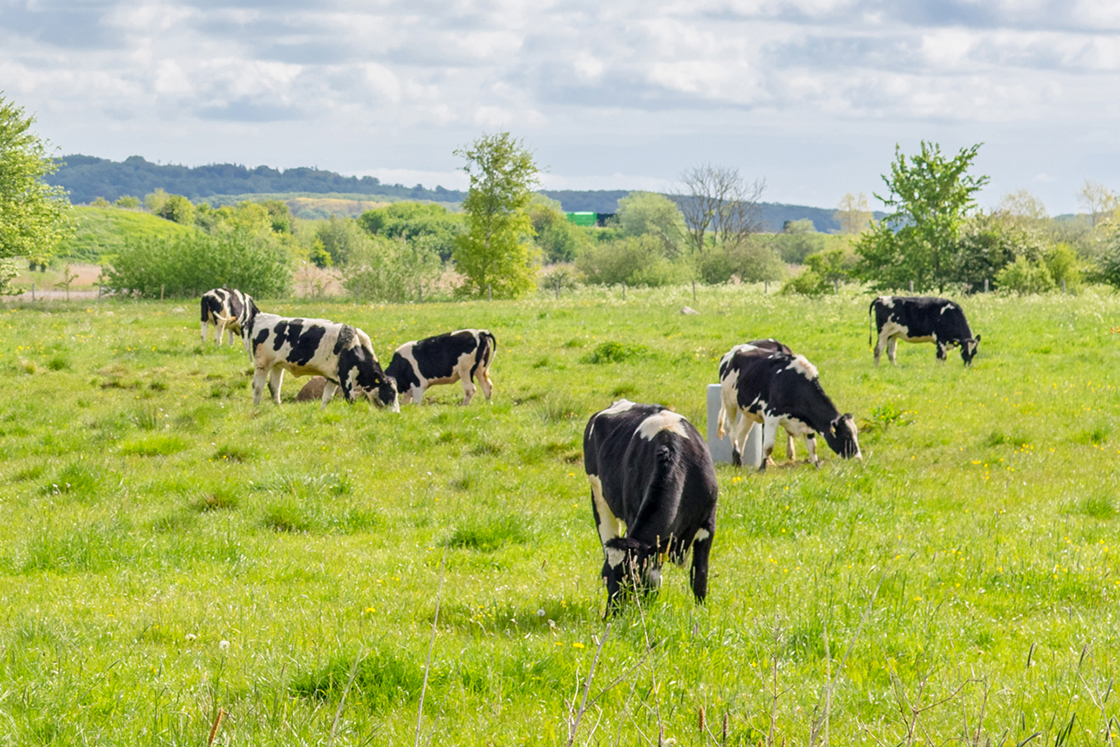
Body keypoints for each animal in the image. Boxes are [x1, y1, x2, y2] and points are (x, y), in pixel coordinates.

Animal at [242, 312, 399, 411]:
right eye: (391, 393)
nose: (396, 414)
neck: (355, 344)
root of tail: (261, 317)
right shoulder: (345, 376)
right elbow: (350, 398)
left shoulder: (333, 377)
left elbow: (327, 398)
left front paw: (321, 411)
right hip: (263, 364)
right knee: (257, 386)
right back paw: (256, 408)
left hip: (277, 365)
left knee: (274, 386)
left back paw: (279, 408)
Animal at [583, 400, 718, 613]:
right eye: (604, 576)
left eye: (632, 578)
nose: (611, 615)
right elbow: (655, 576)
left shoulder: (708, 523)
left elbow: (699, 574)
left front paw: (700, 611)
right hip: (598, 496)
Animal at [717, 340, 861, 470]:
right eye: (847, 435)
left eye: (856, 434)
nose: (858, 458)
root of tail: (733, 351)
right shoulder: (771, 416)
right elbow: (768, 446)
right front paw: (762, 468)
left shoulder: (808, 422)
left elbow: (812, 447)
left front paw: (817, 466)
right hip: (729, 402)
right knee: (732, 429)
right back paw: (737, 458)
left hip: (749, 410)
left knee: (742, 432)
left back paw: (738, 462)